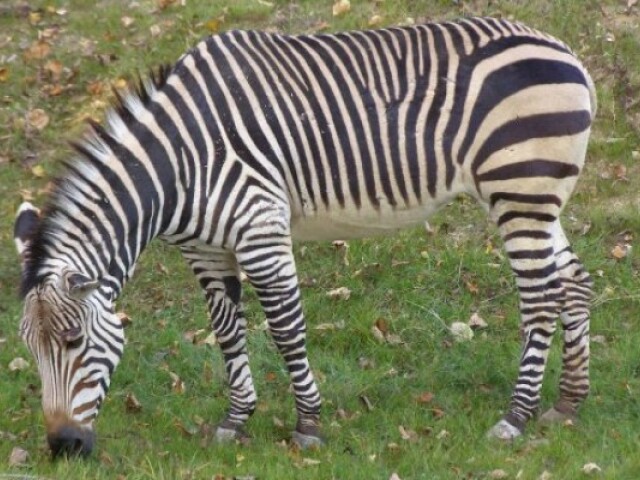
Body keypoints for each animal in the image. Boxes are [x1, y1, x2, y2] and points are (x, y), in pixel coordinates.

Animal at [14, 17, 596, 457]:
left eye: (73, 341)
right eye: (29, 350)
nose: (63, 447)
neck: (177, 165)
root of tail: (566, 52)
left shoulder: (260, 231)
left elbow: (286, 329)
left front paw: (308, 425)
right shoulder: (205, 251)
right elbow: (227, 331)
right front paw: (235, 420)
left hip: (519, 191)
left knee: (541, 296)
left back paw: (517, 416)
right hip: (537, 200)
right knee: (574, 281)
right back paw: (568, 404)